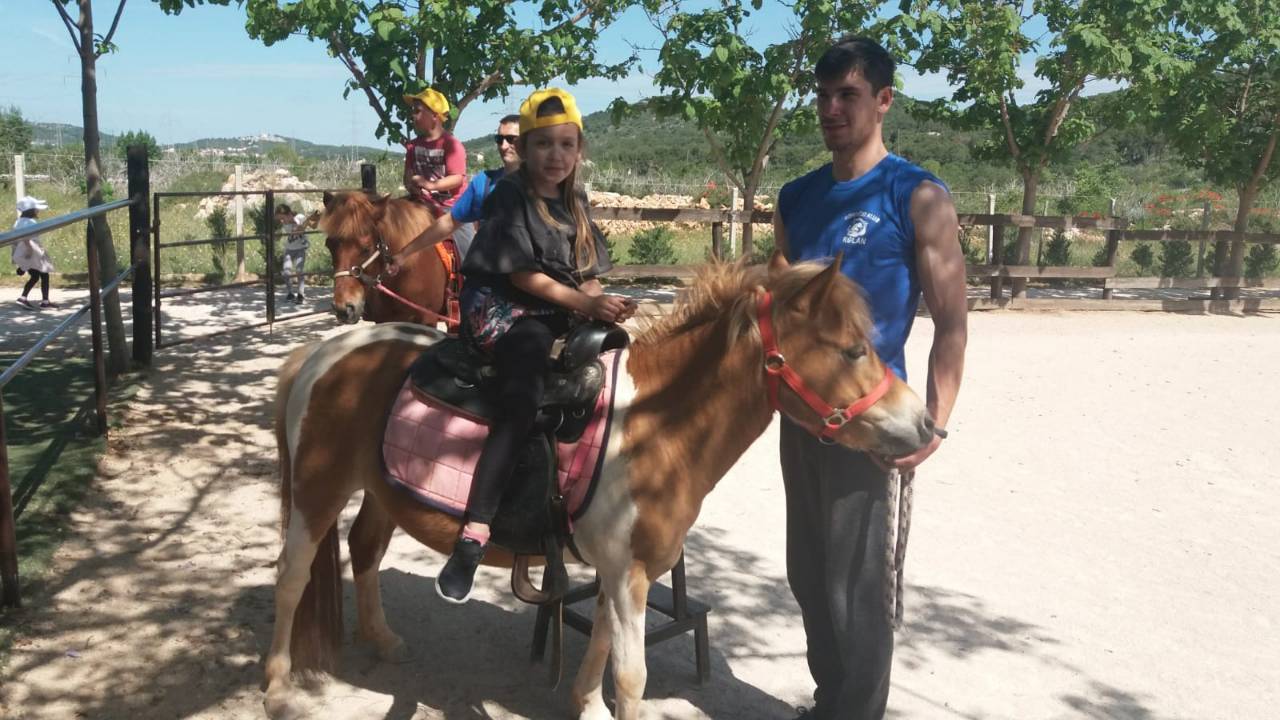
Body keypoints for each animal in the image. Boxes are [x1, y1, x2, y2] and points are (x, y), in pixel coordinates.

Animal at [263, 253, 938, 720]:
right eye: (852, 350)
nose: (926, 425)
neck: (651, 425)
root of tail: (322, 352)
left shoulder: (623, 571)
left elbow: (603, 650)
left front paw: (583, 705)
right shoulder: (627, 572)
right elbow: (632, 677)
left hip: (381, 490)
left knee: (365, 550)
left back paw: (381, 640)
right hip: (318, 491)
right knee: (292, 576)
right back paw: (275, 686)